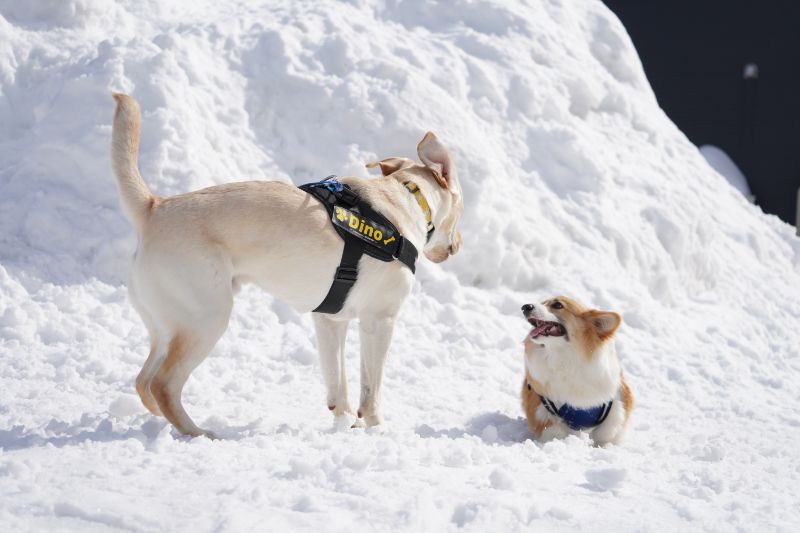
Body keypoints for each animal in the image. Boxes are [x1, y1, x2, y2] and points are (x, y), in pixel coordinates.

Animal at [111, 93, 462, 434]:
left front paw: (345, 421)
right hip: (207, 318)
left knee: (143, 382)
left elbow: (339, 383)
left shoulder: (330, 320)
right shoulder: (380, 320)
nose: (457, 246)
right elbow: (370, 388)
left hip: (167, 324)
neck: (405, 200)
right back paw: (198, 432)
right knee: (163, 384)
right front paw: (376, 427)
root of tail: (155, 208)